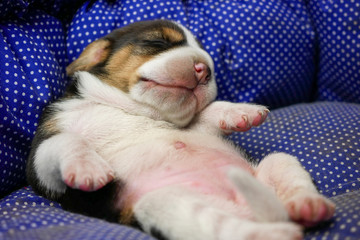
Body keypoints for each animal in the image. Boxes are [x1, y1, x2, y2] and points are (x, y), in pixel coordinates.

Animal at [26, 19, 336, 239]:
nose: (204, 69)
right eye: (158, 40)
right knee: (221, 227)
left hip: (279, 162)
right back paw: (272, 232)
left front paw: (241, 111)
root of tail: (246, 208)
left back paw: (307, 205)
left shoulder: (196, 127)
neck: (133, 109)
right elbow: (64, 142)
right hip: (163, 204)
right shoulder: (42, 159)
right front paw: (88, 168)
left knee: (289, 182)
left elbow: (207, 113)